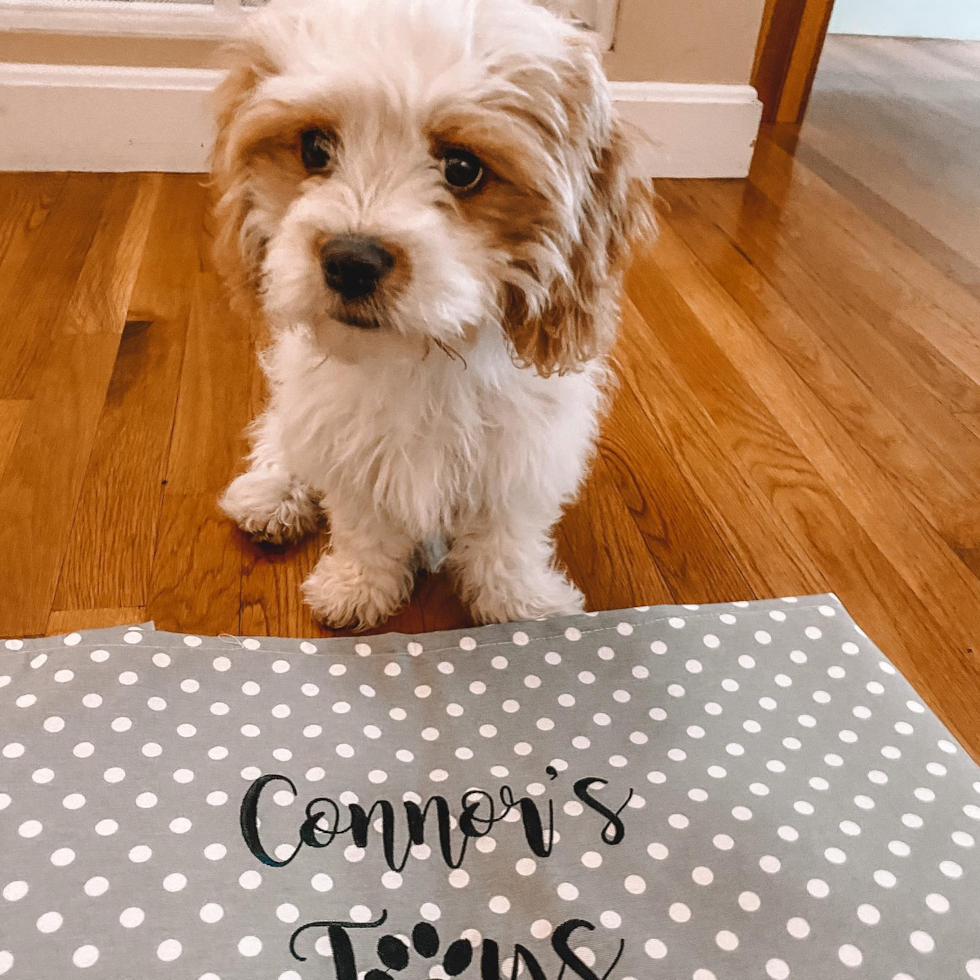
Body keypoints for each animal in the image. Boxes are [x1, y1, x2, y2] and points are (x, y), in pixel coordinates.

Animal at [214, 0, 660, 628]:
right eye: (315, 149)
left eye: (463, 168)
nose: (351, 260)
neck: (424, 353)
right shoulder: (347, 440)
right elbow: (366, 525)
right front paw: (358, 586)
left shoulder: (523, 450)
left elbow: (505, 534)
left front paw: (519, 603)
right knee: (282, 435)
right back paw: (272, 493)